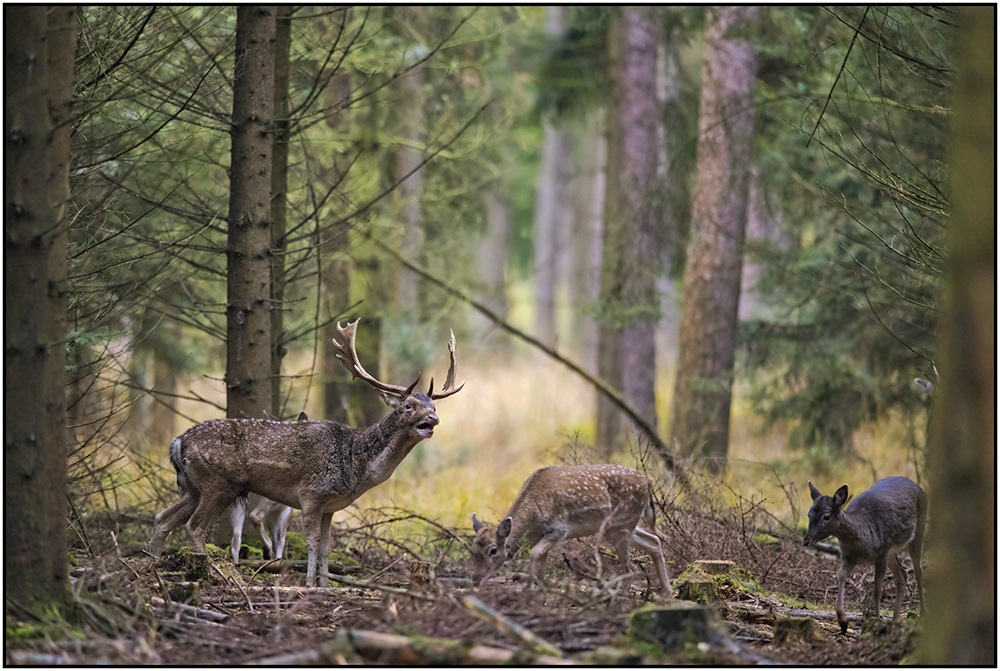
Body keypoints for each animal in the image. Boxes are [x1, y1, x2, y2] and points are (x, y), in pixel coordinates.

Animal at [149, 318, 464, 584]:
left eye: (434, 406)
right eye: (409, 405)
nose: (433, 419)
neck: (355, 464)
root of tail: (178, 442)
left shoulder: (331, 506)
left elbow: (325, 547)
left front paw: (325, 585)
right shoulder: (312, 493)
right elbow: (312, 542)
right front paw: (310, 583)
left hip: (193, 487)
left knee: (162, 518)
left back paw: (152, 564)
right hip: (218, 483)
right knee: (194, 525)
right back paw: (214, 571)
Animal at [468, 464, 672, 596]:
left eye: (493, 550)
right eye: (472, 550)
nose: (476, 579)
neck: (533, 517)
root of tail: (648, 482)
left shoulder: (559, 530)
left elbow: (534, 554)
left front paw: (528, 589)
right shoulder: (539, 535)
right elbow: (541, 561)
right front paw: (539, 591)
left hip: (620, 523)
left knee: (629, 566)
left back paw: (621, 598)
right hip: (626, 525)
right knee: (654, 541)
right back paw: (666, 592)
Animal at [800, 478, 924, 636]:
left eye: (826, 516)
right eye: (809, 514)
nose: (806, 540)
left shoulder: (882, 553)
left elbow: (877, 589)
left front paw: (877, 620)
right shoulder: (849, 557)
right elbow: (841, 575)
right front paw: (842, 621)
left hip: (918, 529)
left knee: (918, 570)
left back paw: (923, 612)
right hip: (892, 552)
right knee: (902, 574)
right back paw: (895, 620)